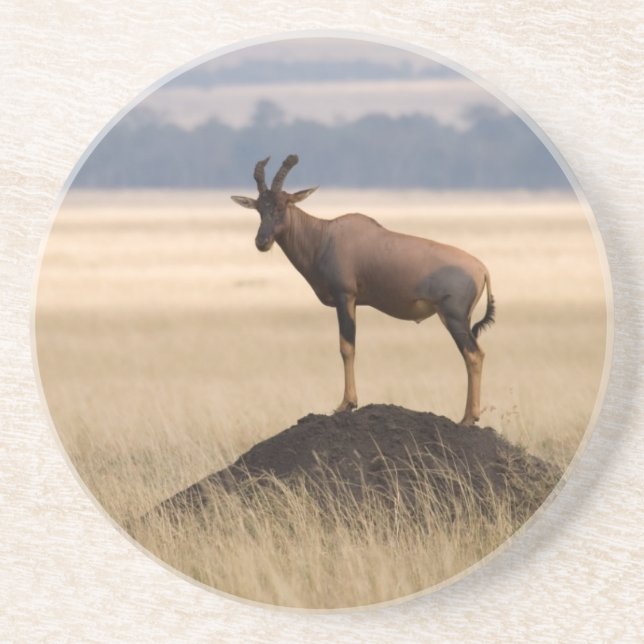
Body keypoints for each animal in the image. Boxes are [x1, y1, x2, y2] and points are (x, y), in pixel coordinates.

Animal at [231, 155, 495, 425]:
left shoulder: (344, 297)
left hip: (453, 317)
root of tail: (481, 268)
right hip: (462, 319)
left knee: (474, 355)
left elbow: (347, 347)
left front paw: (346, 404)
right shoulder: (354, 302)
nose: (261, 242)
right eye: (259, 208)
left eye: (282, 205)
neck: (325, 235)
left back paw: (468, 418)